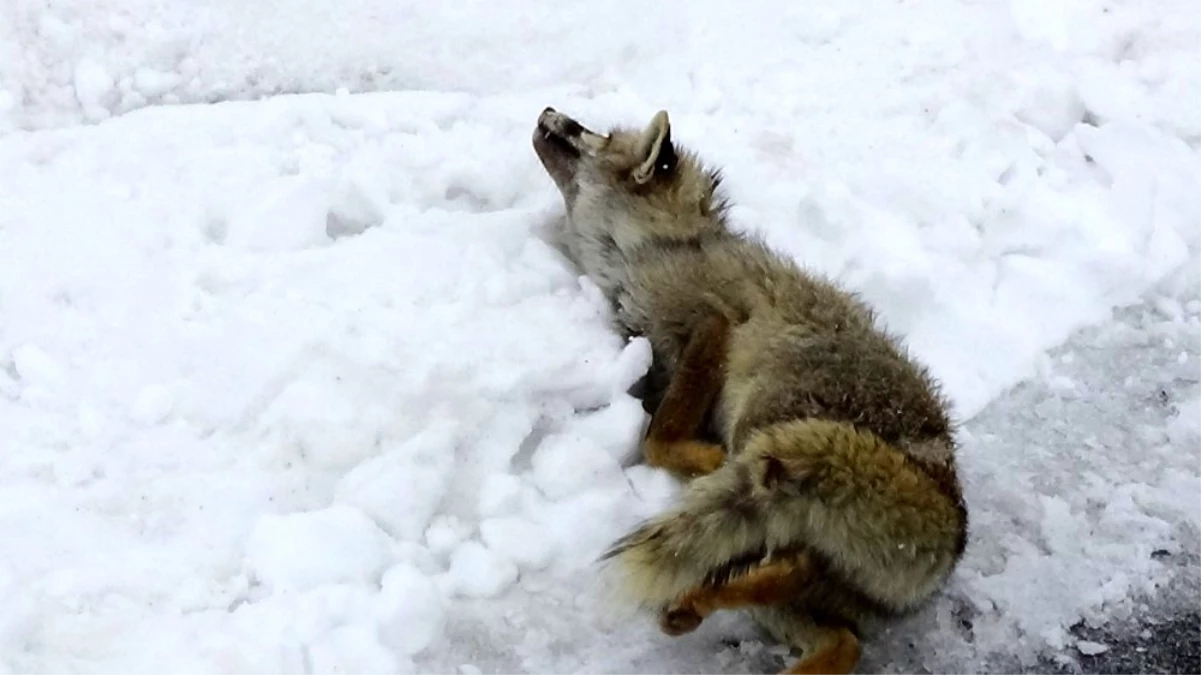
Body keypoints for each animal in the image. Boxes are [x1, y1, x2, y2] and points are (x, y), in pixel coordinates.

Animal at [530, 106, 970, 672]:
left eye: (596, 135)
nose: (548, 112)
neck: (650, 251)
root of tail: (953, 529)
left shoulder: (709, 326)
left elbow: (657, 439)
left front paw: (702, 454)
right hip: (780, 537)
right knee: (837, 631)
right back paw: (699, 608)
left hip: (764, 437)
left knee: (795, 560)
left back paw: (702, 595)